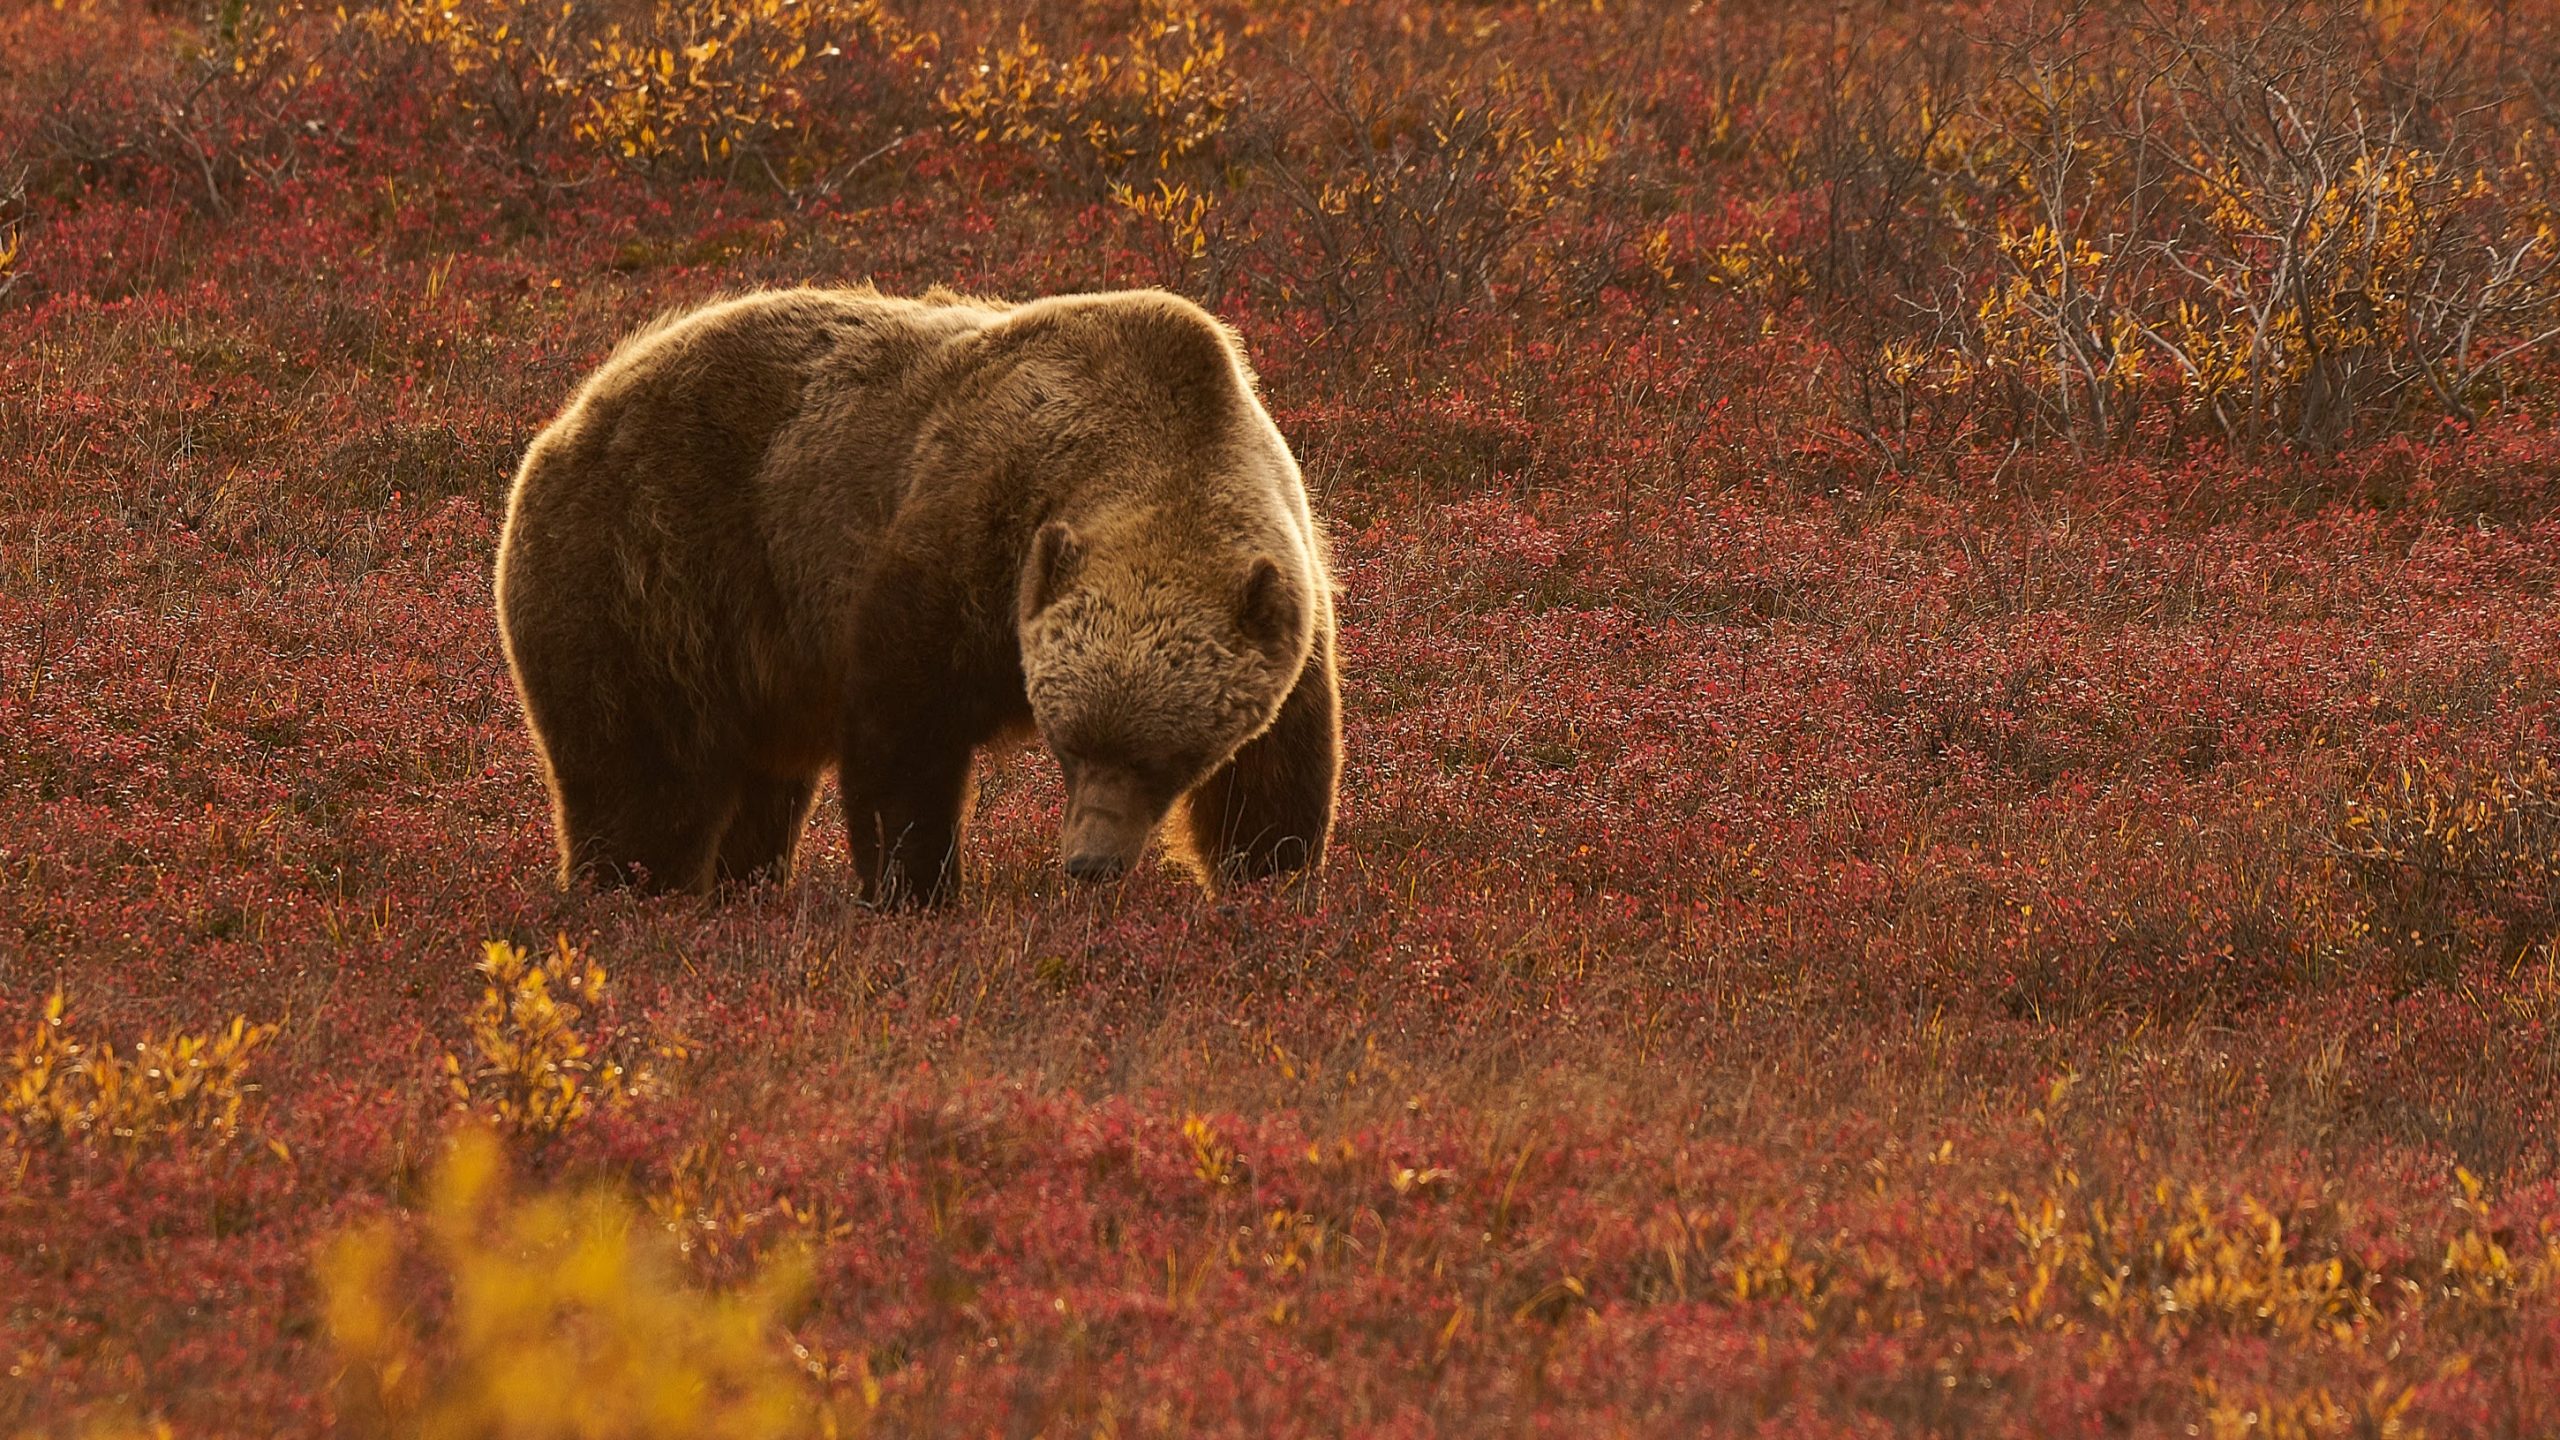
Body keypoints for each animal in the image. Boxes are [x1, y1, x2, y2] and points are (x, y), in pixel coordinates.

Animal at [492, 285, 1340, 905]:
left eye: (1165, 756)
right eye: (1070, 744)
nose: (1089, 863)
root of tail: (571, 412)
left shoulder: (1293, 603)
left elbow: (1277, 772)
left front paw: (1270, 881)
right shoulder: (961, 541)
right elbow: (903, 733)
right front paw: (916, 891)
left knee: (759, 794)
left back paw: (747, 888)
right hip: (654, 578)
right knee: (644, 774)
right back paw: (633, 891)